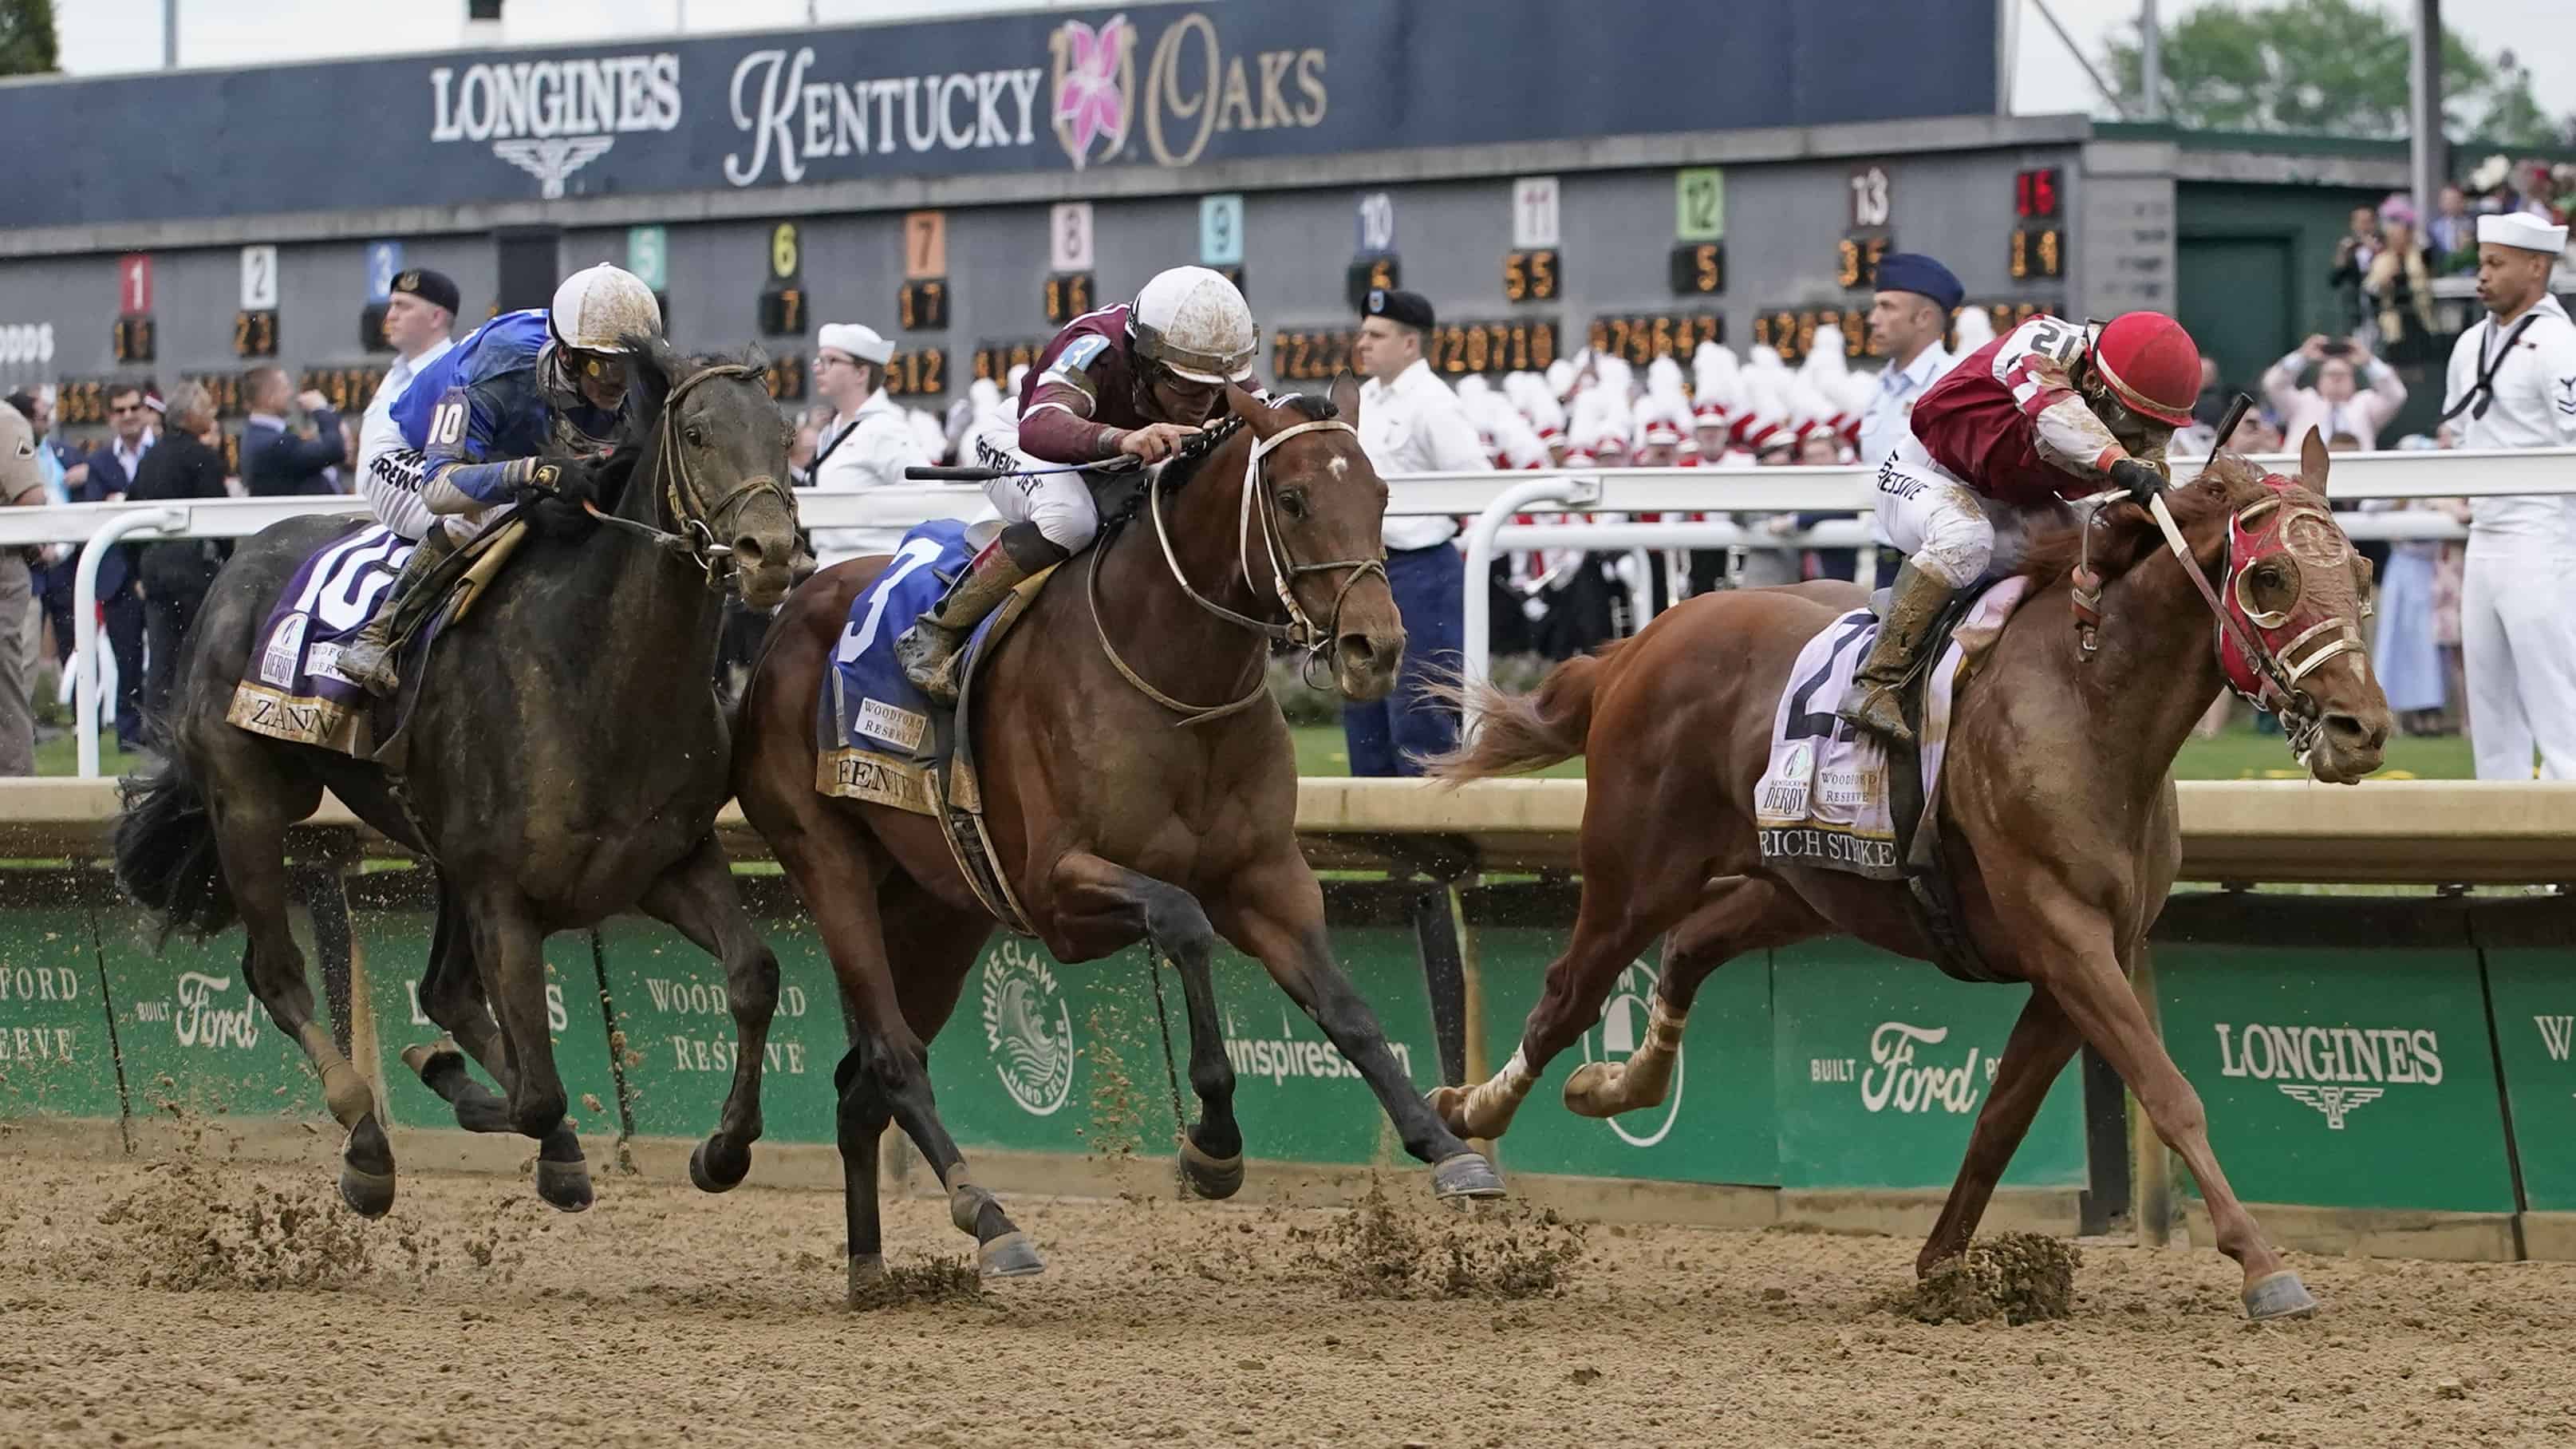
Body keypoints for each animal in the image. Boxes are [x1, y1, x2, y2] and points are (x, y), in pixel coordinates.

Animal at [116, 338, 798, 1217]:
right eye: (699, 433)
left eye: (784, 435)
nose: (770, 555)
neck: (597, 673)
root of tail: (232, 573)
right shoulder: (503, 894)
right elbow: (536, 1092)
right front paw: (459, 1089)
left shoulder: (666, 862)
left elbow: (753, 976)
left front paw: (722, 1147)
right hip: (250, 802)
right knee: (277, 973)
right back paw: (367, 1142)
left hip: (439, 854)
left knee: (443, 992)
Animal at [736, 386, 1504, 1299]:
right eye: (1292, 500)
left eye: (1383, 495)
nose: (1374, 647)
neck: (1175, 678)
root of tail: (790, 613)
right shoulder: (1056, 890)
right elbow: (1182, 923)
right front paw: (1213, 1143)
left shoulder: (1266, 877)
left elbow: (1348, 1011)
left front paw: (1448, 1147)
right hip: (828, 863)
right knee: (892, 1058)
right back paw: (990, 1220)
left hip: (935, 912)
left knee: (859, 1090)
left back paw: (870, 1270)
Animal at [1422, 430, 2380, 1320]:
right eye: (2270, 578)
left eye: (2362, 571)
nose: (2361, 729)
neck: (2090, 698)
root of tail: (1636, 644)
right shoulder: (2063, 933)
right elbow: (2169, 1094)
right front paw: (2264, 1266)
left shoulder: (2086, 954)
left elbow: (2001, 1117)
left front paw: (1943, 1268)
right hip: (1636, 867)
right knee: (1569, 992)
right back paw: (1472, 1114)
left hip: (1798, 887)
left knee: (1689, 948)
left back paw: (1617, 1084)